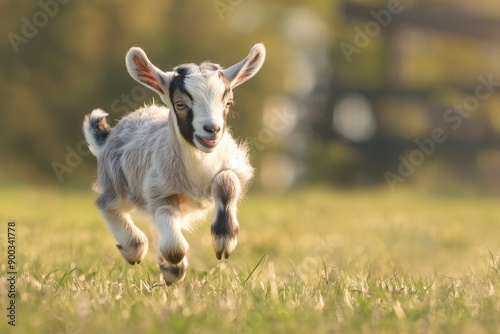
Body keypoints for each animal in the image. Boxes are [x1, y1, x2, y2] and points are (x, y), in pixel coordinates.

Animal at [83, 43, 266, 284]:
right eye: (180, 104)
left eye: (228, 103)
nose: (212, 129)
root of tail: (109, 136)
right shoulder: (160, 191)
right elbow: (175, 248)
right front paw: (173, 266)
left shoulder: (234, 165)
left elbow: (227, 181)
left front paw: (224, 240)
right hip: (116, 182)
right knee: (108, 205)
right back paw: (134, 249)